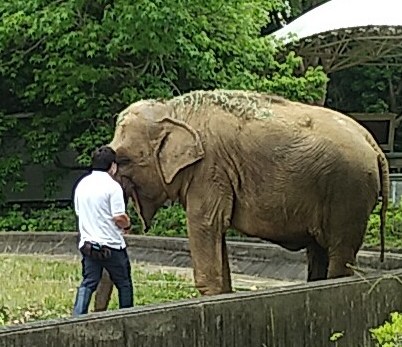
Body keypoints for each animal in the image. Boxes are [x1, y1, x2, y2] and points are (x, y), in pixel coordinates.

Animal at [92, 88, 388, 312]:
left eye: (124, 160)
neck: (174, 110)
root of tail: (374, 145)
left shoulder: (209, 170)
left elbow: (205, 225)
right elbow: (215, 230)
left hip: (348, 192)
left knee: (339, 252)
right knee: (319, 251)